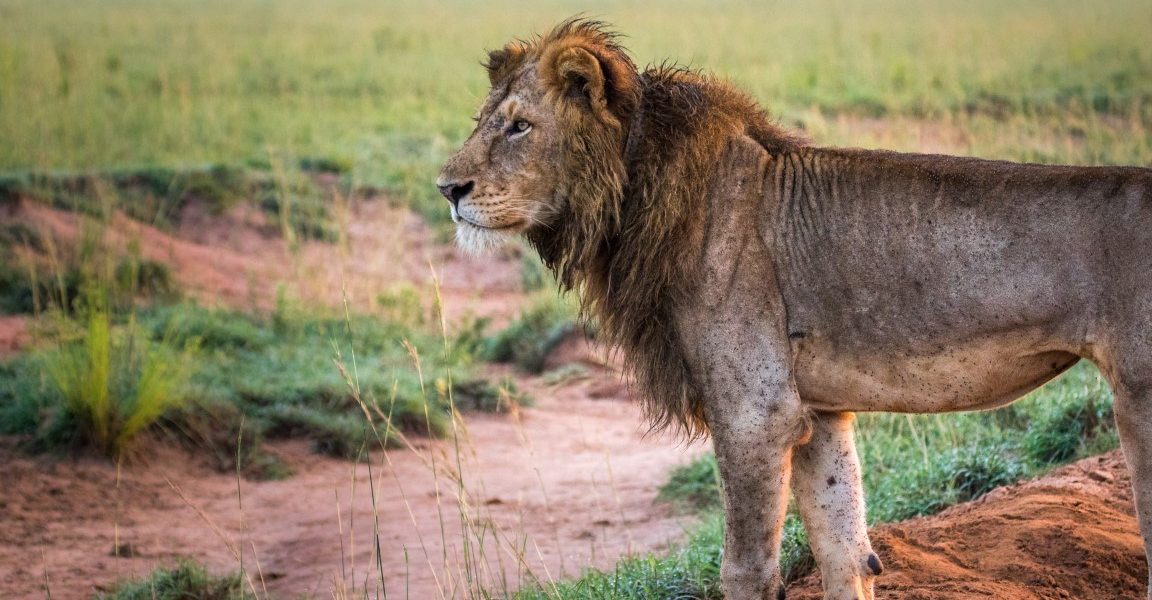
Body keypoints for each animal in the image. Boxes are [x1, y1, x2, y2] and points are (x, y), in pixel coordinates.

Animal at [433, 18, 1152, 598]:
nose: (446, 188)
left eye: (519, 126)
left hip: (1140, 399)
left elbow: (746, 569)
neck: (636, 192)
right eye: (482, 121)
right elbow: (845, 549)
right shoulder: (819, 411)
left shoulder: (757, 414)